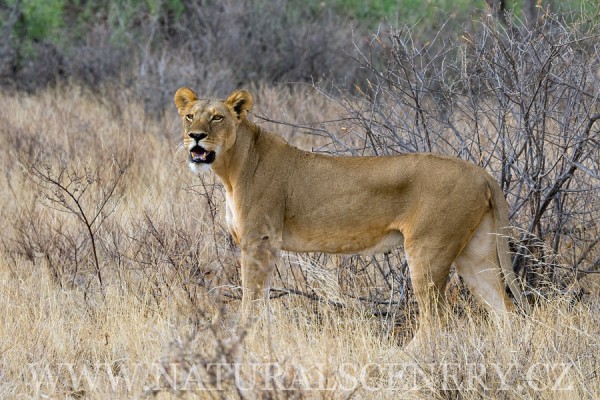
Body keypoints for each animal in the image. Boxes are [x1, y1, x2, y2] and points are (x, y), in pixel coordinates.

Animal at [175, 86, 528, 338]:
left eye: (217, 118)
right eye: (190, 116)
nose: (195, 137)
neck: (231, 169)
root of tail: (480, 172)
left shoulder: (258, 240)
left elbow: (250, 298)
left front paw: (244, 339)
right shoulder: (265, 245)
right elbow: (260, 297)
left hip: (428, 249)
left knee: (434, 322)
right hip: (475, 252)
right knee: (506, 310)